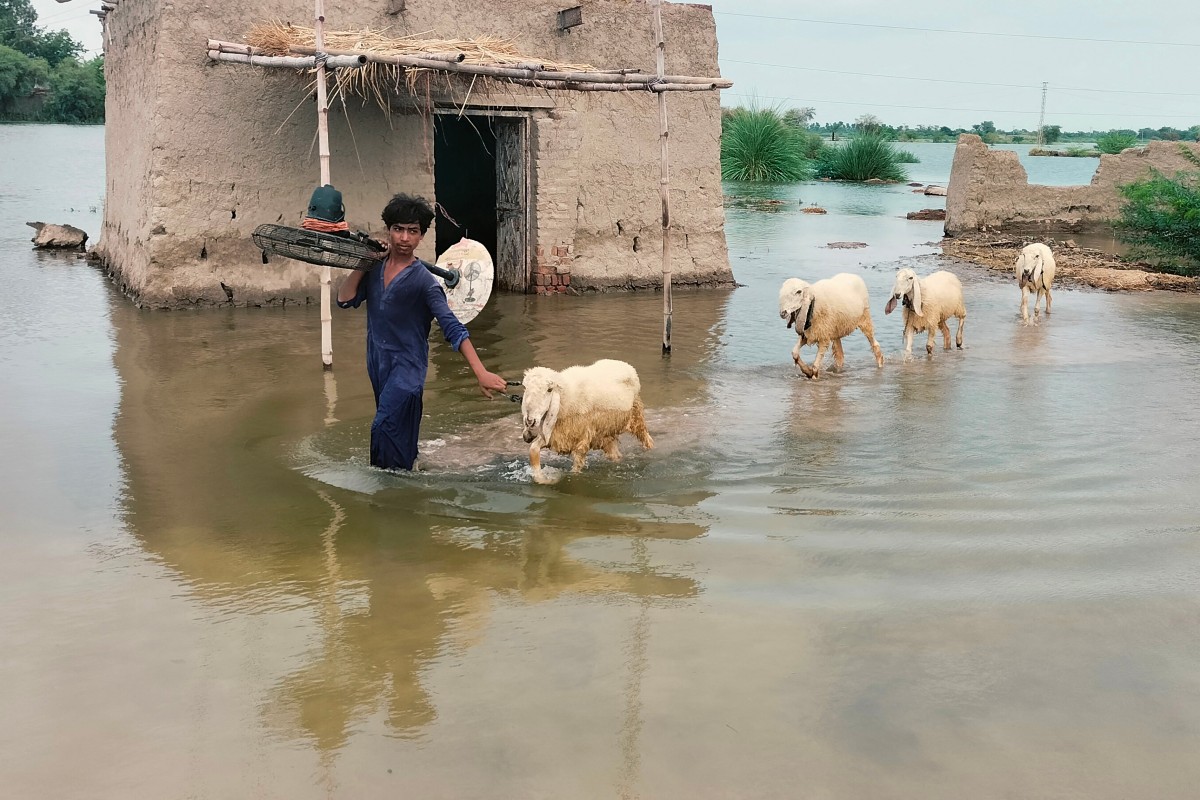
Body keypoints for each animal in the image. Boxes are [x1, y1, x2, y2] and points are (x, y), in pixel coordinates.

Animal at [516, 359, 652, 484]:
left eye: (550, 389)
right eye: (525, 387)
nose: (530, 421)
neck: (567, 397)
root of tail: (623, 363)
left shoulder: (580, 439)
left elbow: (576, 469)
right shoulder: (556, 435)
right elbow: (533, 450)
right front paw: (542, 478)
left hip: (636, 417)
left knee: (647, 439)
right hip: (606, 433)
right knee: (615, 454)